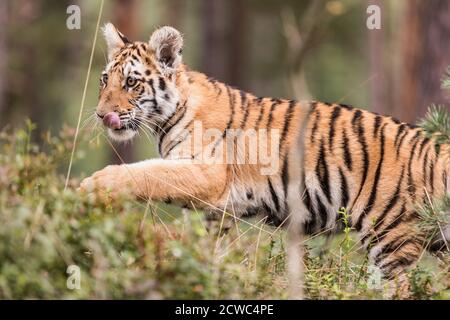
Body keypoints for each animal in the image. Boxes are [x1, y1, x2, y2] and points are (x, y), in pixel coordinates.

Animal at [79, 23, 448, 298]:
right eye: (104, 80)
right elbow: (210, 247)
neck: (167, 117)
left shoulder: (206, 173)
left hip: (391, 240)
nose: (100, 115)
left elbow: (145, 173)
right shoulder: (216, 209)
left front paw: (92, 185)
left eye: (131, 82)